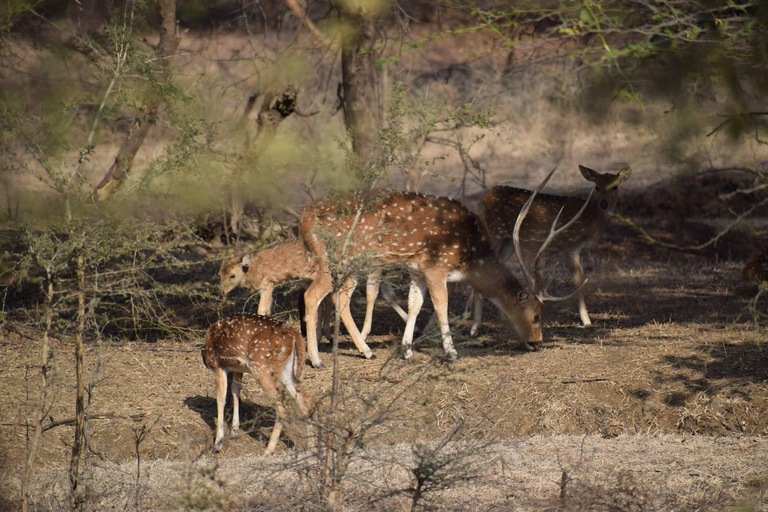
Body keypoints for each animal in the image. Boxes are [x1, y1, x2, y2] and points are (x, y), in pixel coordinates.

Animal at [204, 312, 316, 452]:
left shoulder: (217, 365)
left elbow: (220, 399)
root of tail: (296, 336)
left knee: (283, 404)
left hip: (261, 367)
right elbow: (235, 391)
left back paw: (268, 450)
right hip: (287, 372)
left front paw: (217, 444)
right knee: (305, 401)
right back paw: (311, 446)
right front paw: (234, 430)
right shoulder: (238, 369)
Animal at [298, 176, 588, 368]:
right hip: (337, 258)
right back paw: (318, 359)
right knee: (313, 295)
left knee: (338, 299)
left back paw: (364, 351)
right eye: (537, 315)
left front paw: (407, 349)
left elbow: (415, 303)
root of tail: (304, 218)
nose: (538, 343)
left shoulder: (418, 270)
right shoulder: (436, 266)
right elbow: (441, 304)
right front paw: (451, 352)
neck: (470, 256)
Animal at [484, 164, 632, 326]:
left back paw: (501, 316)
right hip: (493, 231)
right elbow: (578, 279)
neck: (591, 221)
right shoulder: (569, 244)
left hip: (508, 242)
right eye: (596, 187)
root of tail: (485, 196)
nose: (604, 204)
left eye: (615, 186)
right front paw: (586, 320)